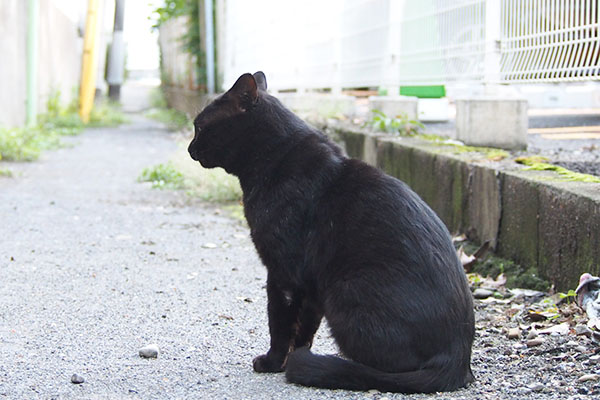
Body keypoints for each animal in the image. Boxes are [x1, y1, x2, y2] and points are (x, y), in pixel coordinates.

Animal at [188, 70, 474, 392]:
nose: (189, 149)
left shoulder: (282, 273)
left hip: (346, 292)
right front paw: (291, 357)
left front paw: (272, 362)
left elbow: (279, 323)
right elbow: (304, 330)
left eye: (200, 127)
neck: (274, 159)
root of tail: (458, 357)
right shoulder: (311, 285)